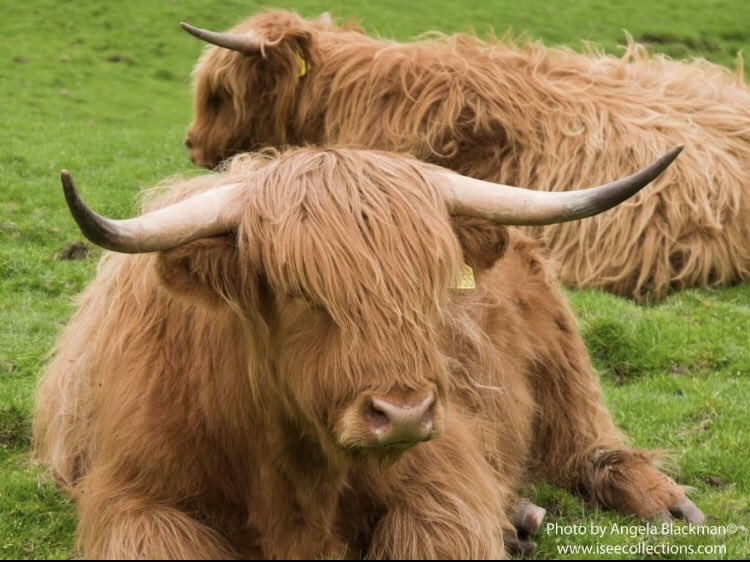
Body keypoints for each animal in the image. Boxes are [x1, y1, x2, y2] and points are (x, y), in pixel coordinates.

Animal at [35, 144, 704, 556]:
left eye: (432, 282)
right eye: (298, 291)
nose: (403, 414)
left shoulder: (443, 480)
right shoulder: (137, 498)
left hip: (562, 366)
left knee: (591, 445)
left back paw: (666, 505)